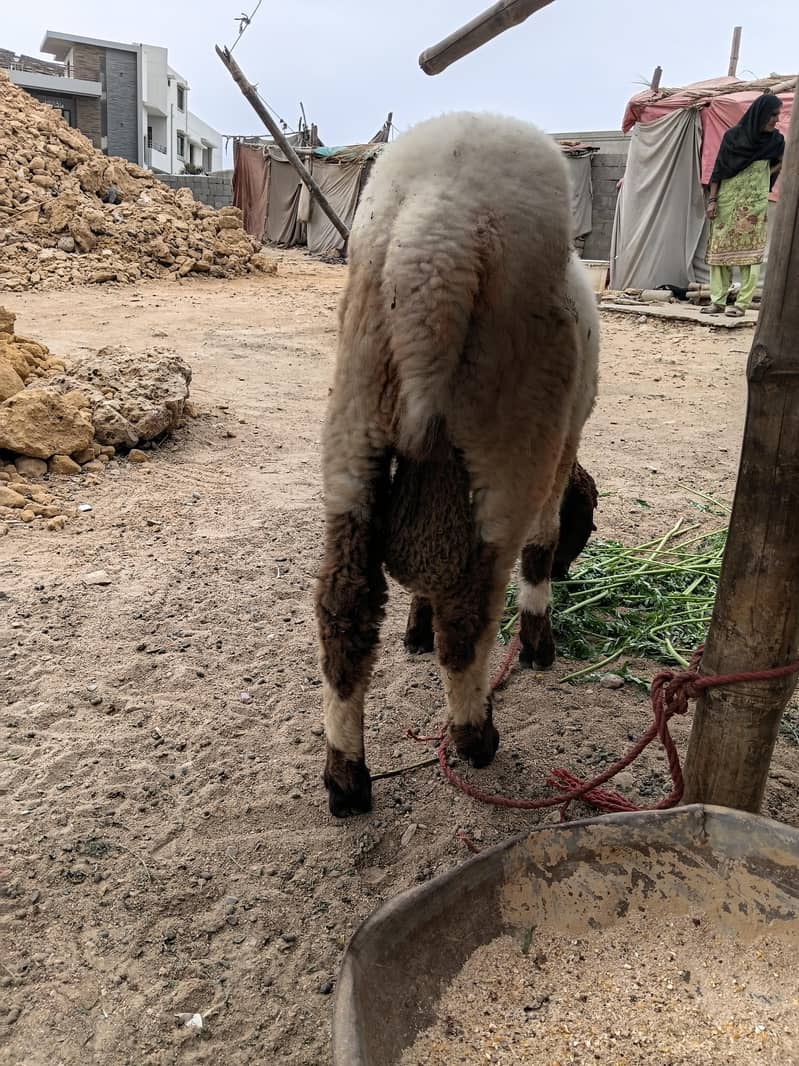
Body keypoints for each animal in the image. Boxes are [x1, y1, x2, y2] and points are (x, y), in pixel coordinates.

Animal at [316, 112, 599, 817]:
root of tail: (433, 232)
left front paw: (412, 629)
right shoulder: (562, 445)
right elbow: (543, 542)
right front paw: (539, 646)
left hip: (356, 418)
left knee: (344, 608)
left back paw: (346, 779)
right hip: (510, 441)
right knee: (469, 615)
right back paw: (475, 737)